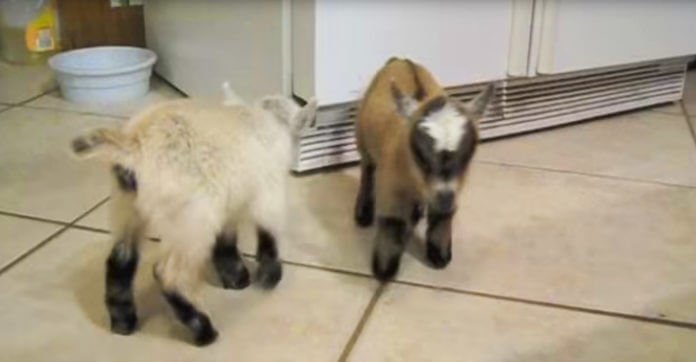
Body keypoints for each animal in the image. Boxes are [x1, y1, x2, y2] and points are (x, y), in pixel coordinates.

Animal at [70, 90, 318, 346]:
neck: (264, 118)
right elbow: (269, 232)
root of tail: (132, 144)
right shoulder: (268, 190)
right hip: (191, 219)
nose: (314, 122)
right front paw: (269, 277)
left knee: (120, 259)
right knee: (169, 274)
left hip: (126, 206)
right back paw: (203, 329)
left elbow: (226, 241)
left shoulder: (229, 199)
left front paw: (236, 277)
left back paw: (123, 322)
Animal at [354, 58, 494, 282]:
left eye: (466, 157)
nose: (444, 199)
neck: (417, 179)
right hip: (362, 137)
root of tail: (400, 59)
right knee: (367, 168)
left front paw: (440, 255)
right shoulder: (391, 184)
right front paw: (384, 268)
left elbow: (443, 217)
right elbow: (392, 221)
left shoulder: (453, 187)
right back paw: (363, 212)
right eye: (421, 156)